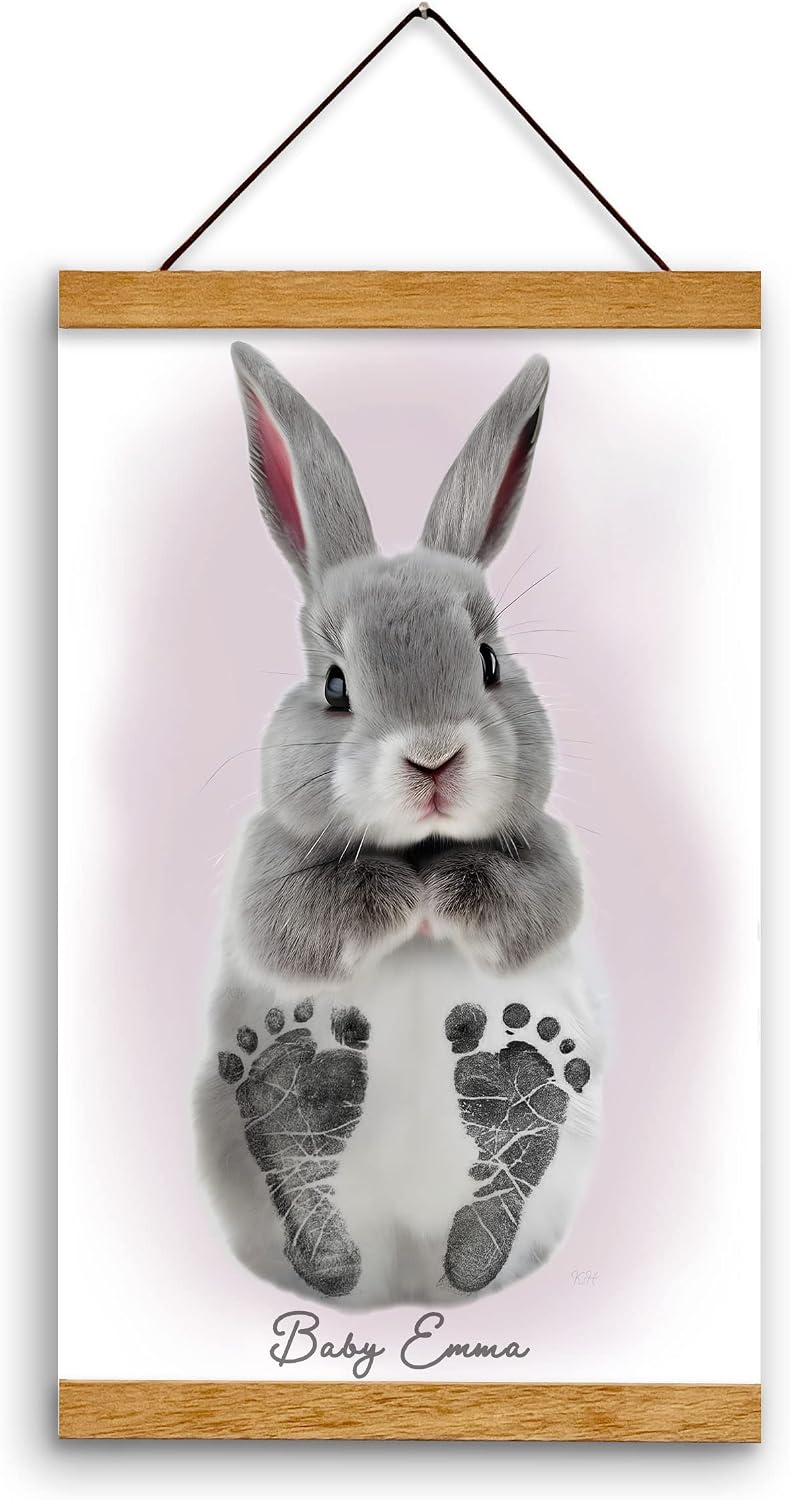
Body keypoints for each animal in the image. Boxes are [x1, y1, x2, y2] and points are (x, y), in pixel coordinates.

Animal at [193, 342, 604, 1307]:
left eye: (489, 663)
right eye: (337, 685)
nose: (433, 757)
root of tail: (407, 1282)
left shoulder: (550, 867)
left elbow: (521, 906)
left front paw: (441, 900)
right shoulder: (266, 886)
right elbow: (313, 923)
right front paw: (401, 902)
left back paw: (513, 1108)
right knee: (325, 1245)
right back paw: (297, 1104)